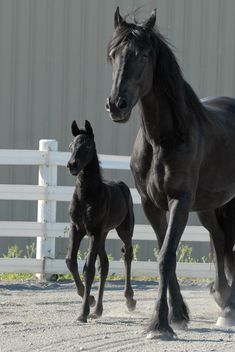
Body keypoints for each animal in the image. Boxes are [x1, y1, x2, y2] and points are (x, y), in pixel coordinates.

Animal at [65, 120, 136, 322]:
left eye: (88, 145)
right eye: (71, 145)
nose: (72, 165)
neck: (86, 196)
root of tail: (122, 185)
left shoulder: (93, 232)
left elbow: (88, 269)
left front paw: (83, 312)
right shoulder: (77, 229)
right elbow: (71, 261)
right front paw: (89, 299)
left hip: (123, 230)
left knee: (127, 254)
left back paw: (130, 300)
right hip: (103, 234)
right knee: (104, 265)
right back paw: (98, 309)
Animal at [106, 7, 235, 338]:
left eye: (142, 54)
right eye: (112, 54)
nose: (116, 105)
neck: (162, 139)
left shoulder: (180, 200)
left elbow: (167, 256)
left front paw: (159, 324)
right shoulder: (152, 205)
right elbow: (166, 255)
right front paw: (177, 315)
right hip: (209, 206)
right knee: (219, 240)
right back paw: (225, 304)